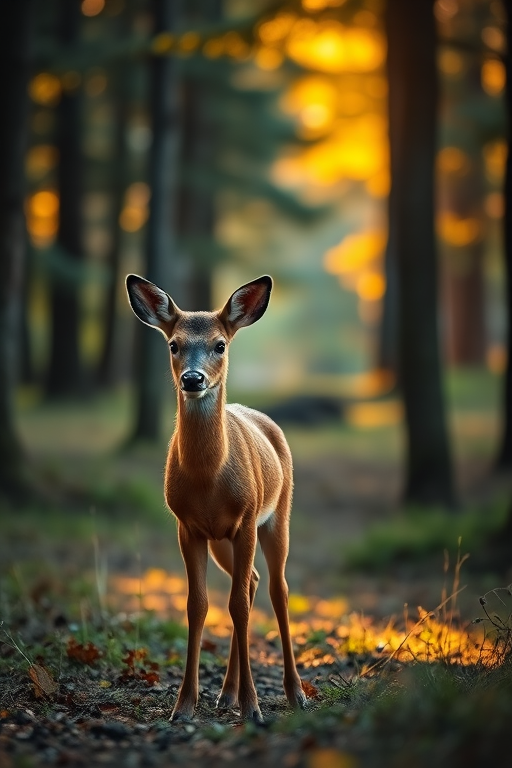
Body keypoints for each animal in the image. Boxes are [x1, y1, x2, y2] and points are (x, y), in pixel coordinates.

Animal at [125, 273, 308, 723]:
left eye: (220, 344)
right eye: (174, 344)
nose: (193, 379)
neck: (209, 479)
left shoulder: (245, 521)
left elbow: (238, 607)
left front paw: (253, 707)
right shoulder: (187, 526)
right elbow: (198, 605)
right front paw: (184, 705)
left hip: (277, 515)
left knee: (277, 589)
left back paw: (294, 693)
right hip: (222, 540)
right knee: (254, 581)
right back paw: (227, 694)